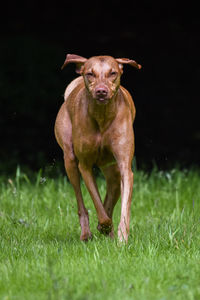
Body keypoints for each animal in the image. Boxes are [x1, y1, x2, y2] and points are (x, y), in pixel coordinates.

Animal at [54, 54, 141, 241]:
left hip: (113, 171)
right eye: (90, 74)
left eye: (113, 73)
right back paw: (87, 233)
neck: (102, 116)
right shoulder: (85, 166)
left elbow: (124, 207)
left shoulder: (125, 167)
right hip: (70, 161)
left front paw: (122, 238)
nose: (101, 91)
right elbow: (97, 204)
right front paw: (104, 225)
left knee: (110, 196)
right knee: (81, 203)